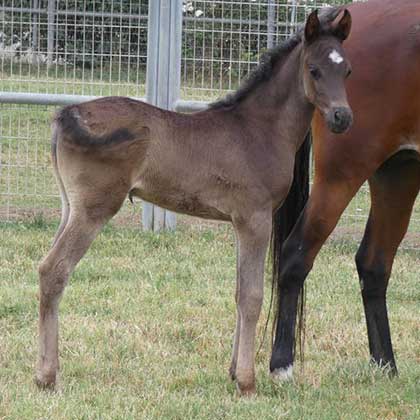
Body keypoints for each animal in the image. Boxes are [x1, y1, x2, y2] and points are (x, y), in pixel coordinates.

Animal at [36, 10, 352, 398]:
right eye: (313, 69)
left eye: (347, 70)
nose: (342, 117)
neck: (259, 131)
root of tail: (70, 112)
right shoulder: (256, 218)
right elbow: (252, 296)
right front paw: (247, 382)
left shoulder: (240, 222)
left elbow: (238, 291)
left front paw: (233, 371)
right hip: (93, 210)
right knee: (54, 271)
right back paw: (47, 376)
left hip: (70, 207)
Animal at [270, 0, 418, 382]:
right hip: (343, 174)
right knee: (296, 253)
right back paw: (281, 366)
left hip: (398, 172)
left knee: (374, 264)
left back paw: (386, 366)